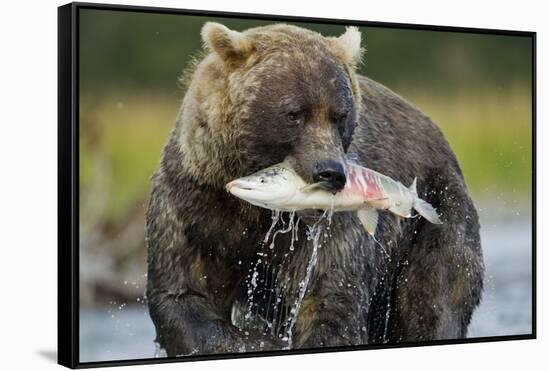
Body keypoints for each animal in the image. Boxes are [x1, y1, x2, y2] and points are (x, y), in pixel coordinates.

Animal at [148, 21, 488, 358]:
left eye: (341, 115)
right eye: (294, 113)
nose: (330, 173)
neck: (255, 212)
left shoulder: (330, 230)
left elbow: (331, 299)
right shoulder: (195, 204)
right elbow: (184, 295)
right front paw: (262, 340)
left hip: (436, 213)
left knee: (434, 297)